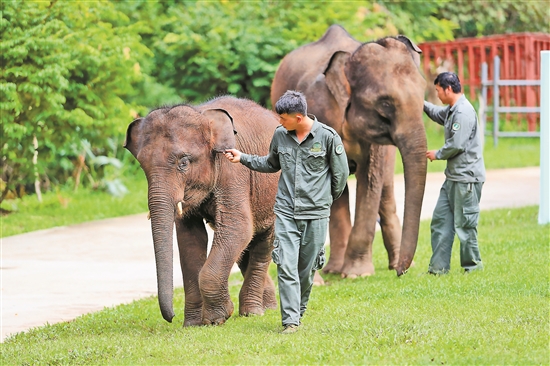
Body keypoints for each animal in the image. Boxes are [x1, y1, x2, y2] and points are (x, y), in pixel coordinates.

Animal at [125, 96, 280, 324]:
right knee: (245, 249)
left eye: (184, 162)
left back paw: (252, 312)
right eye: (143, 167)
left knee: (261, 244)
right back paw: (268, 307)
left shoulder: (233, 171)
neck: (203, 115)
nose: (171, 317)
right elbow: (189, 238)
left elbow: (238, 228)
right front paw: (193, 324)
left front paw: (218, 318)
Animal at [270, 24, 426, 276]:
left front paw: (356, 274)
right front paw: (350, 274)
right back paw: (337, 269)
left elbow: (370, 178)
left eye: (424, 94)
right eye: (384, 105)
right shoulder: (320, 108)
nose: (401, 273)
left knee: (385, 190)